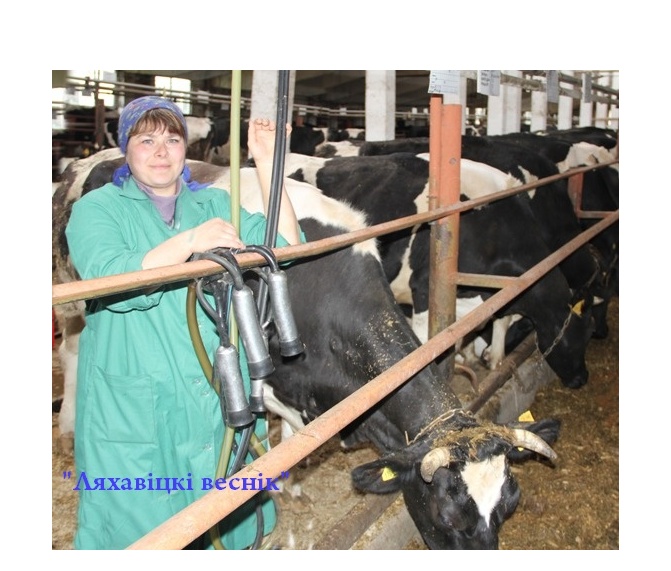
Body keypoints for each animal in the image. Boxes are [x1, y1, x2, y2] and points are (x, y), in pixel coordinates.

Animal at [52, 150, 560, 550]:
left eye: (508, 507)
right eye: (447, 516)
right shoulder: (275, 375)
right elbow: (288, 433)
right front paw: (283, 484)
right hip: (74, 301)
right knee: (72, 353)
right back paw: (70, 426)